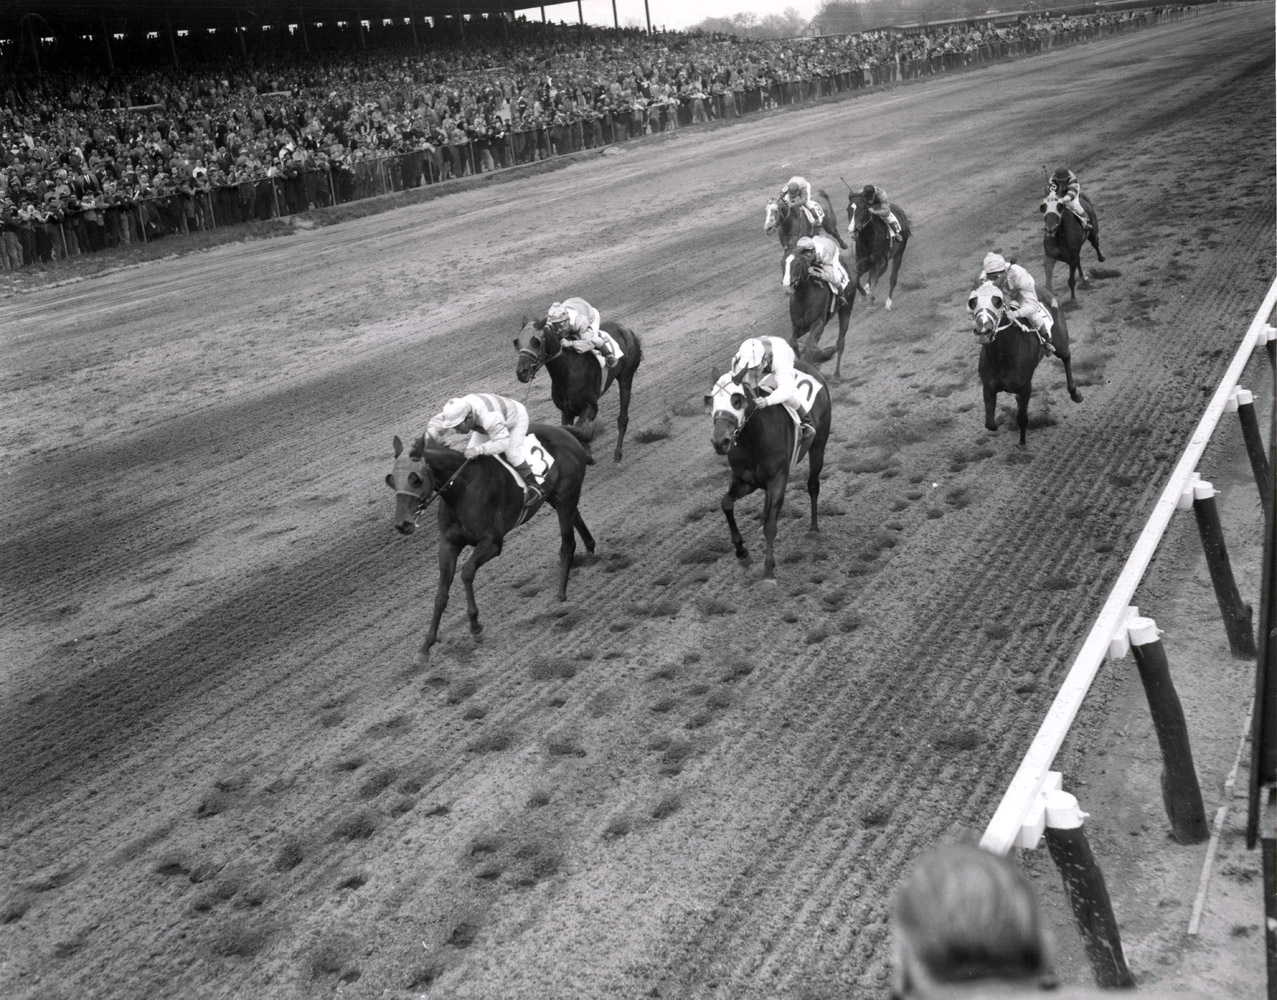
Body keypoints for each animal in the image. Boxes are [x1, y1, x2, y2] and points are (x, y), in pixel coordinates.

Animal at [385, 424, 595, 664]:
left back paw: (560, 593)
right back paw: (591, 550)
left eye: (415, 479)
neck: (461, 491)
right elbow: (441, 593)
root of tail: (564, 430)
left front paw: (475, 626)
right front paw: (426, 646)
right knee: (576, 518)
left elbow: (467, 572)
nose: (402, 524)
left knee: (567, 544)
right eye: (391, 480)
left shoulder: (492, 542)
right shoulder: (448, 544)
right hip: (557, 498)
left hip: (565, 497)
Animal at [513, 319, 643, 462]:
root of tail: (625, 329)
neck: (567, 372)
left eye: (536, 342)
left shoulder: (590, 407)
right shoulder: (566, 411)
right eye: (517, 342)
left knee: (623, 418)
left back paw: (617, 454)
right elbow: (571, 432)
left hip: (626, 377)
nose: (522, 372)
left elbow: (579, 430)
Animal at [704, 365, 832, 587]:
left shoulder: (778, 479)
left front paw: (768, 572)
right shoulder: (744, 479)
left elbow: (771, 526)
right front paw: (742, 553)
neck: (753, 439)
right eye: (712, 400)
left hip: (818, 446)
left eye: (736, 400)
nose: (720, 441)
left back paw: (814, 527)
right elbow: (726, 503)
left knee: (813, 485)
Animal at [781, 245, 853, 380]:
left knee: (840, 342)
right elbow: (793, 342)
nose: (788, 286)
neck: (804, 297)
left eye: (798, 263)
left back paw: (836, 375)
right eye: (782, 263)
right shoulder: (799, 326)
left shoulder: (818, 323)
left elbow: (810, 346)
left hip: (846, 309)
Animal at [970, 279, 1082, 446]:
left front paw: (1022, 442)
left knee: (1066, 357)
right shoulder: (988, 387)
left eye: (997, 301)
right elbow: (990, 424)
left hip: (1060, 341)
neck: (1001, 357)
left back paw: (1075, 393)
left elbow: (1022, 418)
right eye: (973, 302)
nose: (983, 330)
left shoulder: (1025, 387)